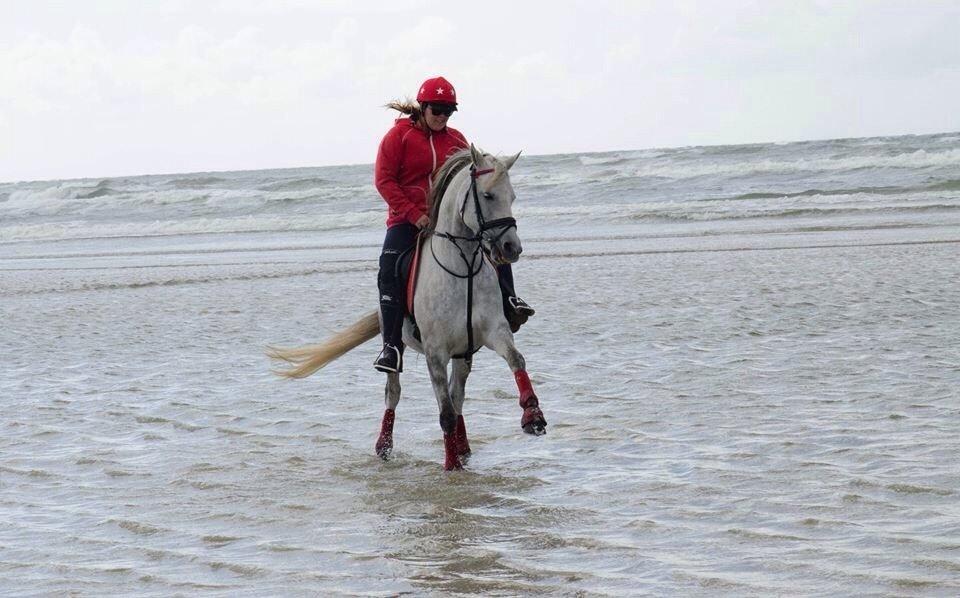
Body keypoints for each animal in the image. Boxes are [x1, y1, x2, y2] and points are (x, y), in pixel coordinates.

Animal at [270, 144, 544, 468]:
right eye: (488, 195)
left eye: (512, 196)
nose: (512, 248)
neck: (462, 267)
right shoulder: (435, 352)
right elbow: (444, 413)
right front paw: (451, 467)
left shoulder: (494, 332)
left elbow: (516, 361)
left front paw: (533, 415)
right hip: (397, 346)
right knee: (395, 393)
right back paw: (385, 446)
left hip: (464, 354)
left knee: (458, 395)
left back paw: (464, 447)